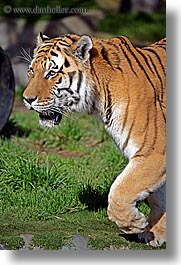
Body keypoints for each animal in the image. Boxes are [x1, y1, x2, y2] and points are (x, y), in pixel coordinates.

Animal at [23, 32, 166, 245]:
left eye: (51, 73)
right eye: (31, 71)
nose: (27, 99)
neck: (100, 98)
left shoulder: (154, 151)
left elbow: (120, 191)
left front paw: (134, 224)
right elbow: (158, 196)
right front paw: (155, 233)